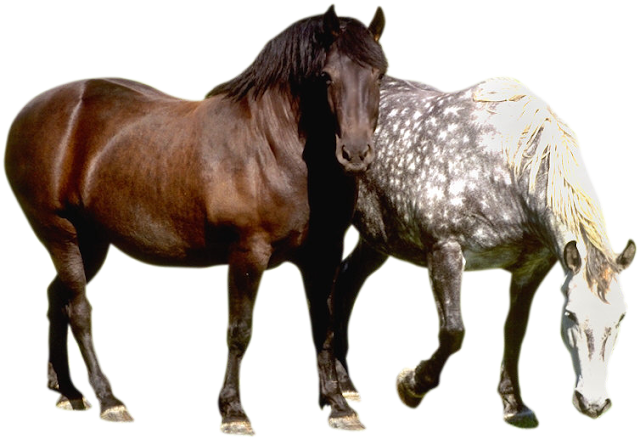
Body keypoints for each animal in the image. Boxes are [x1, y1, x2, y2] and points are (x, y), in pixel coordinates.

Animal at [3, 4, 389, 436]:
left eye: (379, 74)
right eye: (326, 76)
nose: (355, 153)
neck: (275, 148)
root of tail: (30, 111)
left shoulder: (323, 253)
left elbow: (323, 324)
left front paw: (338, 406)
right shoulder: (248, 253)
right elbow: (240, 330)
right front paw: (233, 411)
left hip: (93, 242)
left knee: (57, 295)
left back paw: (67, 392)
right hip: (61, 233)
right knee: (79, 310)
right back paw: (109, 400)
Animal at [331, 75, 636, 430]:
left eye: (621, 317)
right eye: (571, 315)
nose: (594, 403)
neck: (506, 163)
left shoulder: (530, 268)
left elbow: (515, 329)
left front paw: (515, 405)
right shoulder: (445, 252)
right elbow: (454, 332)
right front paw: (411, 386)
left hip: (378, 240)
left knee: (346, 285)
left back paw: (346, 383)